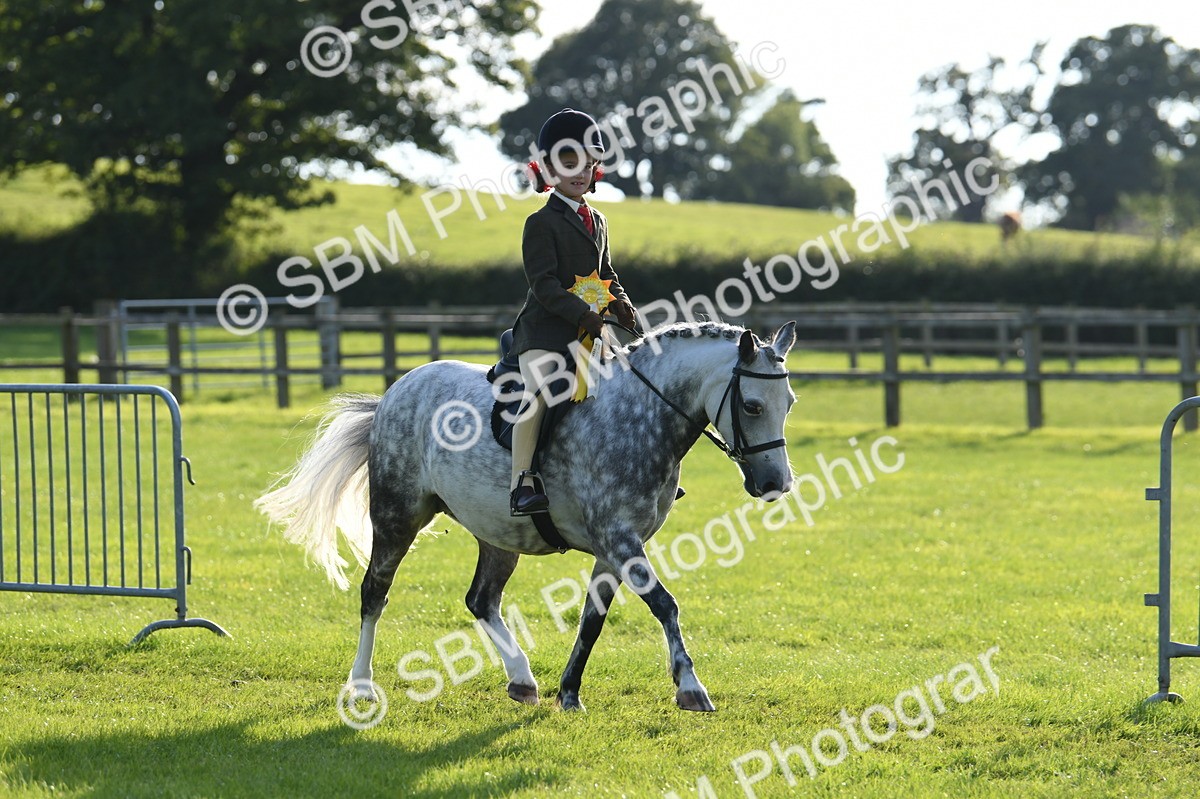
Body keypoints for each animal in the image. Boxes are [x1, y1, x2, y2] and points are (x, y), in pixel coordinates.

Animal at [255, 319, 798, 713]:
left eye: (789, 403)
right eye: (752, 406)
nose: (777, 484)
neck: (641, 416)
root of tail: (396, 389)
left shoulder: (613, 550)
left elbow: (591, 622)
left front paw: (569, 694)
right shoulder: (620, 540)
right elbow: (666, 605)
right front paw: (690, 688)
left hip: (499, 534)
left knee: (481, 600)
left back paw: (521, 679)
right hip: (397, 517)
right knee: (375, 592)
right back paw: (363, 686)